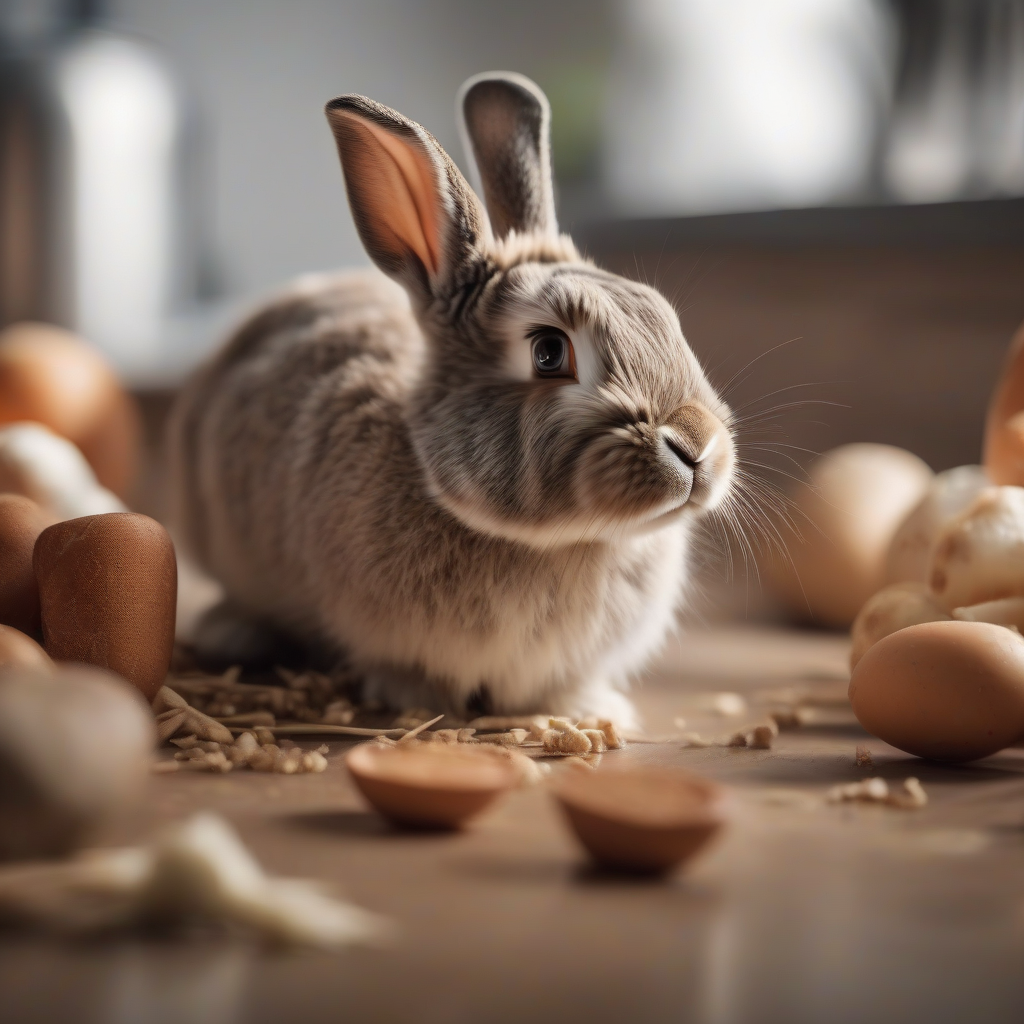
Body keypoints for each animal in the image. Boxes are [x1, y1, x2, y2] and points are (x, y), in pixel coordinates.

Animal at [168, 72, 737, 728]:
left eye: (666, 318)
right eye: (549, 352)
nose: (699, 448)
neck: (566, 541)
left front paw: (592, 711)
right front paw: (416, 700)